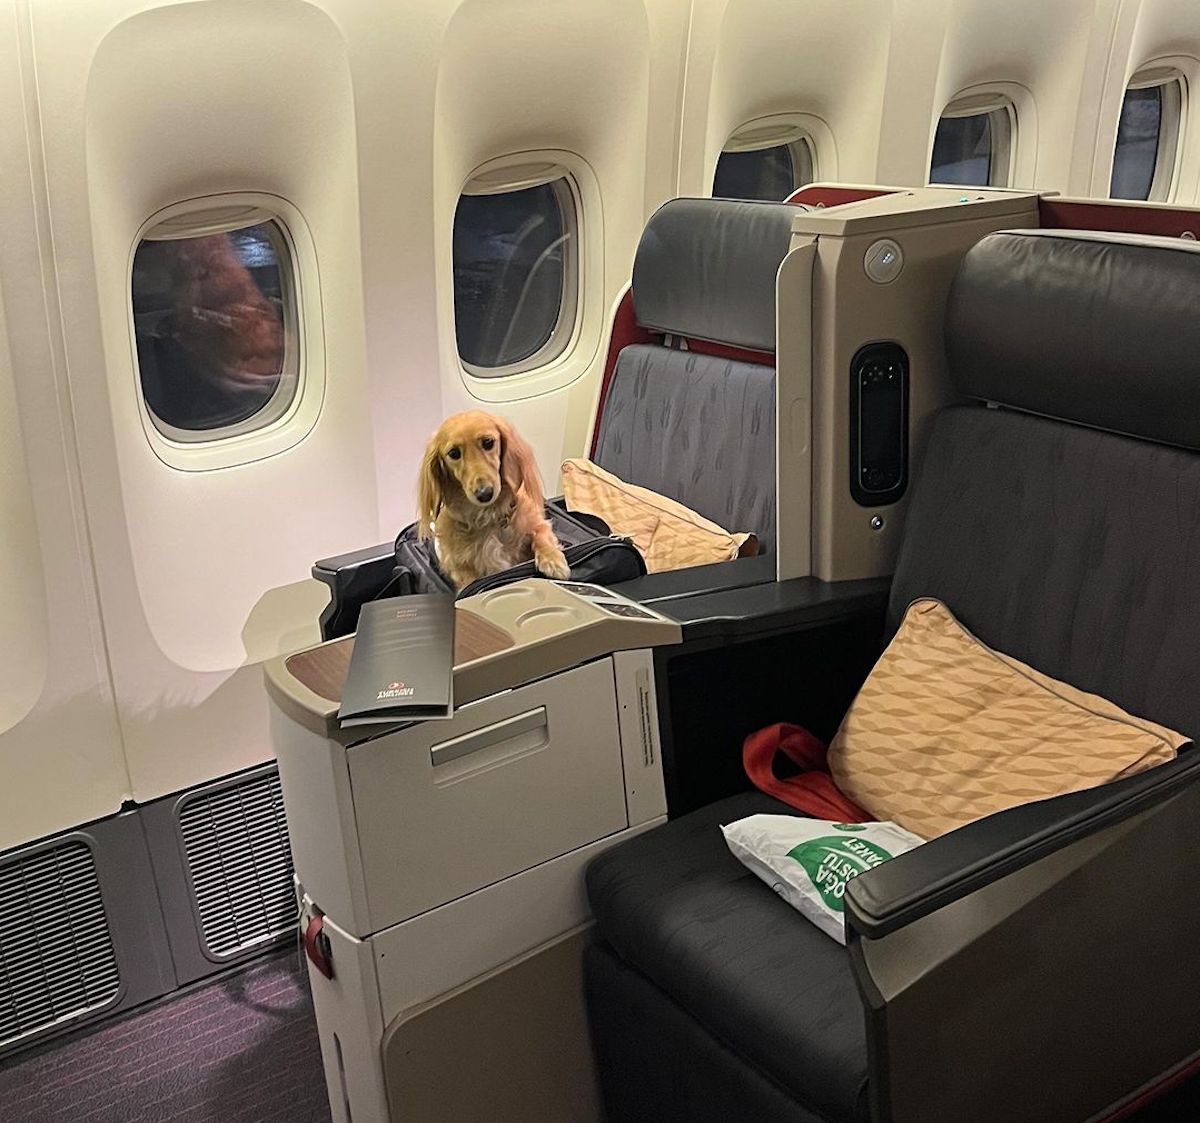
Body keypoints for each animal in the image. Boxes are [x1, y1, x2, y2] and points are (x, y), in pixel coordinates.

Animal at [417, 410, 571, 587]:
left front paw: (553, 560)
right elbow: (469, 582)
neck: (489, 516)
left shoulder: (538, 523)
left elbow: (541, 535)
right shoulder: (461, 569)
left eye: (488, 442)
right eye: (454, 453)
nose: (484, 493)